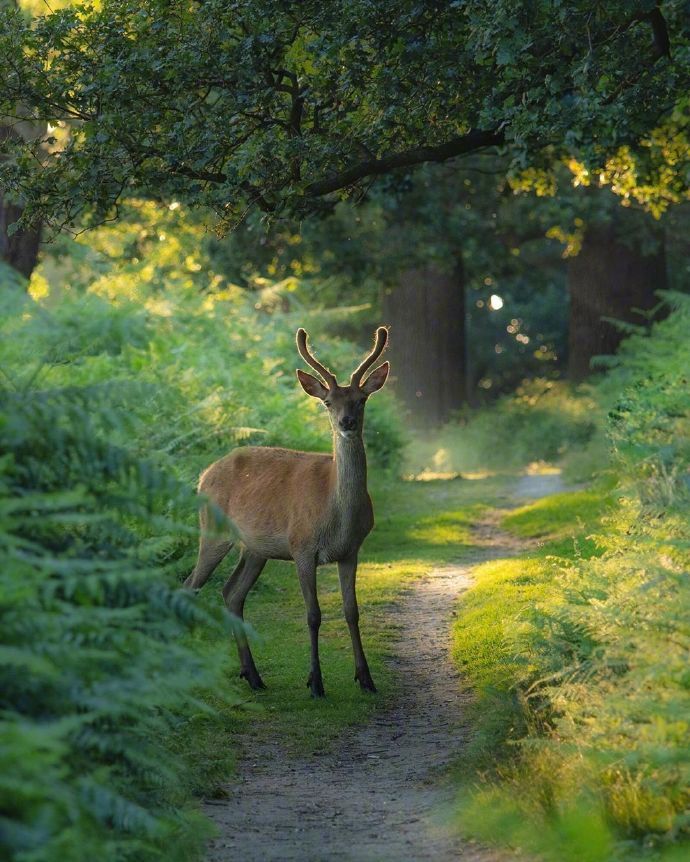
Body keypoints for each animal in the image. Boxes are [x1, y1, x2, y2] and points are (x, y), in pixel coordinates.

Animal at [184, 326, 390, 698]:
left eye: (361, 400)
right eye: (328, 402)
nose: (347, 421)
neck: (336, 515)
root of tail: (203, 474)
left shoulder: (351, 550)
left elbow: (352, 611)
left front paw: (366, 678)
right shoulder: (301, 545)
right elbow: (313, 614)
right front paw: (316, 682)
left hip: (255, 549)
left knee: (231, 593)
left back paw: (252, 676)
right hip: (213, 532)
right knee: (190, 585)